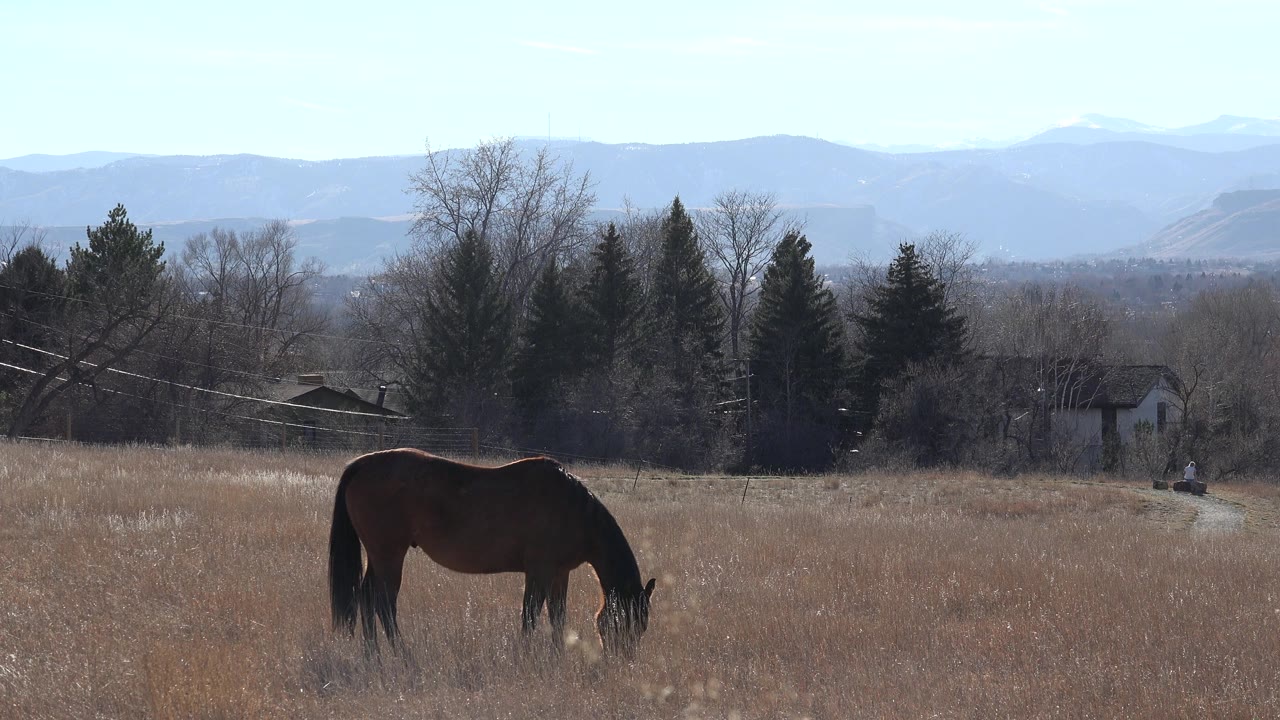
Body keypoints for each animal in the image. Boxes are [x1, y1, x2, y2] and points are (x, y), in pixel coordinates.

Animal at [328, 448, 656, 656]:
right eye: (625, 622)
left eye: (641, 627)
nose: (622, 660)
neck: (572, 509)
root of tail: (363, 464)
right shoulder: (539, 572)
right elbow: (530, 616)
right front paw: (526, 655)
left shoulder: (559, 574)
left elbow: (557, 617)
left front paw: (557, 655)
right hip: (389, 555)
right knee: (382, 603)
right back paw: (400, 654)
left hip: (379, 556)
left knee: (367, 598)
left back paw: (373, 655)